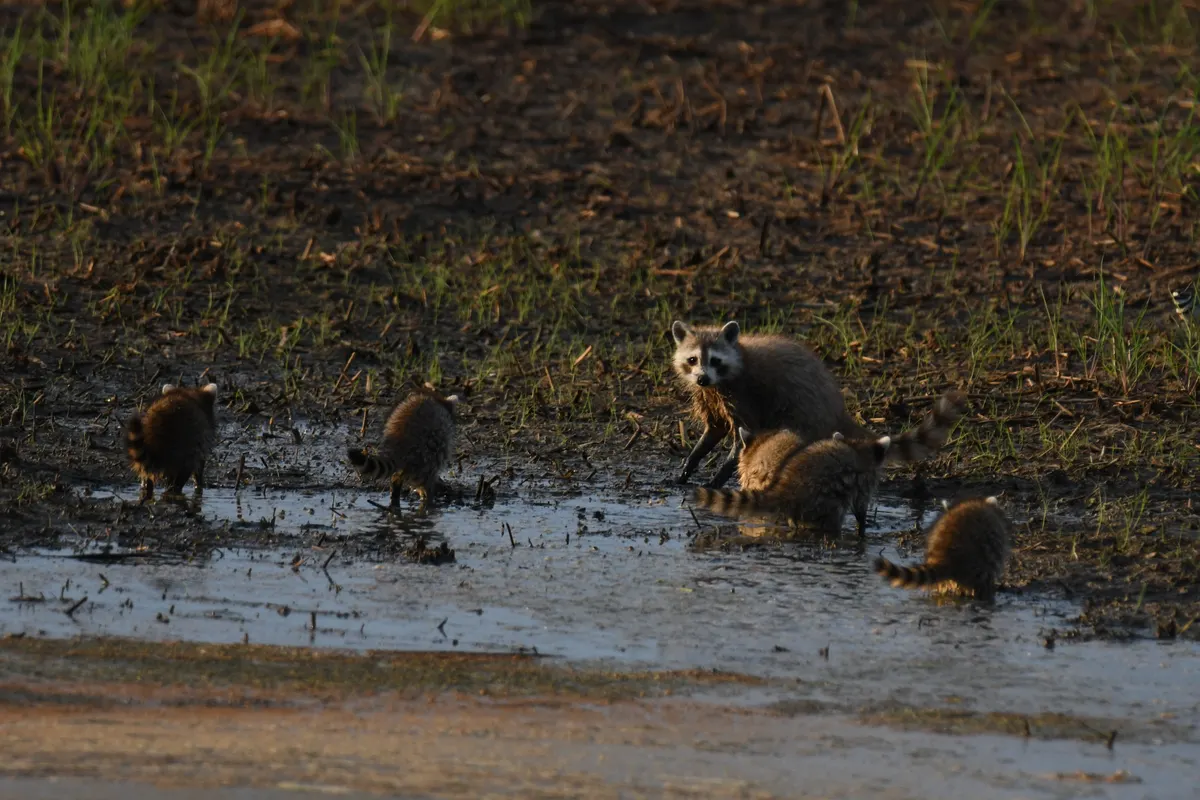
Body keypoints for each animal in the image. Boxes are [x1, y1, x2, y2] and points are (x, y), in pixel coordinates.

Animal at [671, 320, 865, 489]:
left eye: (715, 360)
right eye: (692, 359)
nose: (702, 379)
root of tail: (838, 410)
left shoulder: (743, 396)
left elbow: (744, 435)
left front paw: (719, 476)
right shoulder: (709, 398)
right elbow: (715, 429)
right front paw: (690, 462)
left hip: (804, 413)